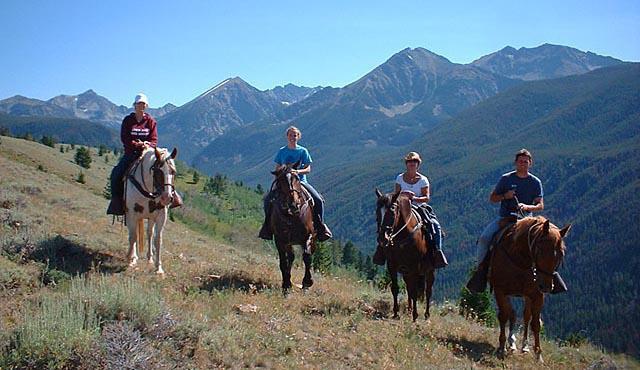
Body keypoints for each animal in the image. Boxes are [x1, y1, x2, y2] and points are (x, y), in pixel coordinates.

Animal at [124, 146, 178, 274]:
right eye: (158, 171)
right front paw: (130, 260)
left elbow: (158, 239)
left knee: (149, 234)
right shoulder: (132, 214)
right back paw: (133, 256)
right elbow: (133, 237)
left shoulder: (161, 216)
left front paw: (159, 268)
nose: (167, 197)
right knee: (132, 234)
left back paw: (149, 259)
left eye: (173, 172)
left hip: (151, 218)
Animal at [264, 162, 316, 294]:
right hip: (288, 242)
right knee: (290, 257)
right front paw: (286, 286)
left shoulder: (309, 235)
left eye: (297, 178)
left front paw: (307, 282)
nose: (294, 204)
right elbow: (283, 262)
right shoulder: (280, 239)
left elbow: (307, 257)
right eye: (281, 180)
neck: (292, 215)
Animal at [372, 188, 438, 320]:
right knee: (409, 288)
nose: (382, 239)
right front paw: (396, 313)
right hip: (406, 272)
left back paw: (426, 314)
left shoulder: (415, 267)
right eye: (377, 212)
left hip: (430, 270)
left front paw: (415, 316)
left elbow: (415, 292)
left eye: (392, 212)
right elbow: (395, 288)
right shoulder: (392, 265)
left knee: (428, 291)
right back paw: (409, 310)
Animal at [488, 215, 572, 362]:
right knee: (512, 313)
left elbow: (535, 323)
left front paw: (538, 355)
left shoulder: (537, 295)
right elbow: (504, 316)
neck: (520, 260)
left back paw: (524, 346)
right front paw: (502, 348)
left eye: (561, 254)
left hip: (527, 296)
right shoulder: (500, 290)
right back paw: (511, 343)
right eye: (541, 250)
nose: (546, 286)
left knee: (526, 316)